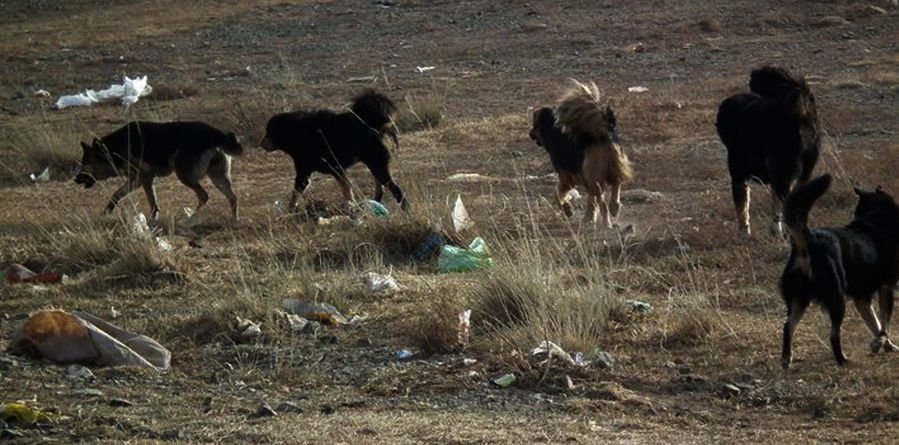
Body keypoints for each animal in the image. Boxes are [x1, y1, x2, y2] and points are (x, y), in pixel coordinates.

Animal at [74, 120, 243, 219]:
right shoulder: (136, 180)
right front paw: (106, 212)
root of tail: (212, 133)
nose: (75, 179)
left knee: (204, 195)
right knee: (233, 198)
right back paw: (234, 220)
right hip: (218, 178)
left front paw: (152, 220)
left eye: (85, 164)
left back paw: (190, 217)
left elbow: (152, 202)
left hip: (184, 175)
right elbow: (116, 195)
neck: (112, 149)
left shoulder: (145, 176)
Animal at [260, 88, 408, 212]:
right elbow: (347, 189)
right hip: (374, 164)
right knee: (380, 187)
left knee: (396, 189)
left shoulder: (305, 173)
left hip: (376, 163)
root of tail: (373, 124)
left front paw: (289, 211)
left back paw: (405, 208)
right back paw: (374, 201)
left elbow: (295, 194)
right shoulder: (336, 170)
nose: (261, 144)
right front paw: (351, 206)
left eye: (268, 133)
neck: (294, 130)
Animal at [528, 79, 632, 225]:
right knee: (617, 183)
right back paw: (615, 206)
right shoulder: (584, 179)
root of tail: (601, 134)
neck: (552, 129)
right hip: (613, 165)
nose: (530, 134)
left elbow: (556, 195)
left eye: (533, 125)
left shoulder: (567, 177)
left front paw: (568, 209)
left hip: (595, 177)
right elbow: (591, 201)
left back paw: (607, 223)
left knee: (603, 203)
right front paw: (589, 217)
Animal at [716, 66, 824, 236]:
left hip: (783, 171)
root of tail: (802, 116)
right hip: (804, 172)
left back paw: (777, 230)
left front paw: (744, 232)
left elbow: (742, 208)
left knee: (781, 205)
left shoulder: (738, 175)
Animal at [780, 173, 899, 368]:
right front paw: (880, 343)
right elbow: (884, 324)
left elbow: (875, 323)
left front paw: (884, 345)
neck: (876, 218)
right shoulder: (886, 288)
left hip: (799, 300)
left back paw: (786, 358)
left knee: (788, 326)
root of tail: (809, 242)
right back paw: (843, 360)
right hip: (837, 300)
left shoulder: (862, 298)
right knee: (834, 335)